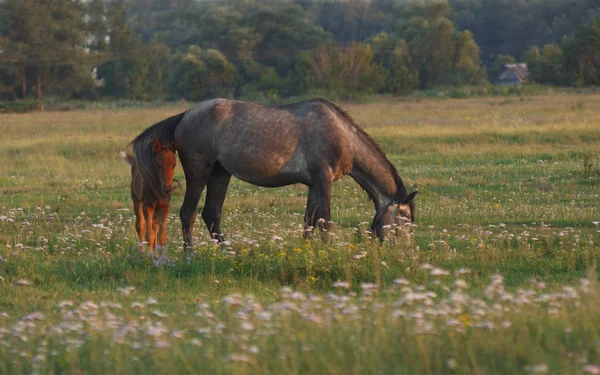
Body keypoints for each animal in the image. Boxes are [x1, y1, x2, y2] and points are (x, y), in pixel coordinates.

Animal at [132, 98, 418, 248]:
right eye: (404, 220)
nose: (405, 253)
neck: (341, 134)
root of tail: (186, 114)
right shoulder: (323, 179)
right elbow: (325, 220)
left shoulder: (313, 184)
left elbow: (308, 221)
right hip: (198, 173)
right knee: (188, 213)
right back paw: (189, 254)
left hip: (220, 174)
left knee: (211, 214)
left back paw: (227, 251)